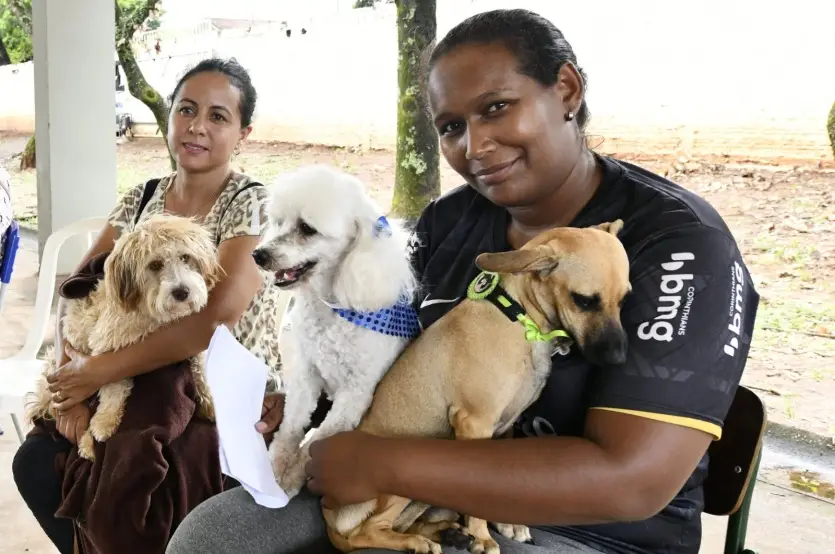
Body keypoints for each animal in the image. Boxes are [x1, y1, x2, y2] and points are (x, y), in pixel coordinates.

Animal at [26, 214, 223, 461]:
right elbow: (113, 390)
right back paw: (86, 443)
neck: (152, 313)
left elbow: (203, 373)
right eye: (155, 265)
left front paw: (212, 403)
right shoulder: (105, 353)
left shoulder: (190, 343)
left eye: (186, 257)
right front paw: (103, 423)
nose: (182, 292)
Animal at [252, 164, 417, 499]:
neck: (330, 309)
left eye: (307, 228)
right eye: (279, 222)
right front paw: (277, 467)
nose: (259, 255)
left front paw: (294, 475)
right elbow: (290, 426)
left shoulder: (355, 394)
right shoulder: (305, 377)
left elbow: (316, 443)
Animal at [322, 220, 631, 554]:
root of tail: (328, 516)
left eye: (624, 299)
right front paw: (483, 537)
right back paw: (418, 541)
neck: (520, 318)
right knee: (366, 531)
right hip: (402, 480)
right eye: (583, 301)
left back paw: (446, 533)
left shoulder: (503, 430)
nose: (619, 359)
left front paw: (503, 524)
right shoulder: (475, 424)